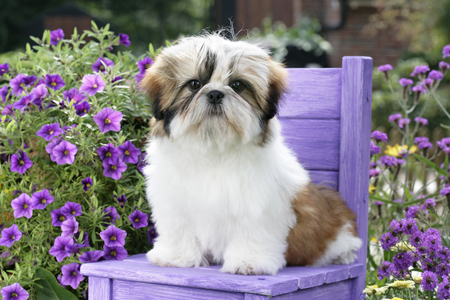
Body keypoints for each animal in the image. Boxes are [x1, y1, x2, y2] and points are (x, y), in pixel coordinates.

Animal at [141, 31, 362, 276]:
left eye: (238, 85)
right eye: (194, 84)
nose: (215, 94)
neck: (214, 147)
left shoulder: (256, 203)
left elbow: (252, 230)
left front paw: (249, 262)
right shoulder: (175, 202)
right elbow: (180, 228)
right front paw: (176, 257)